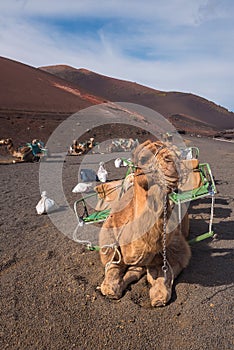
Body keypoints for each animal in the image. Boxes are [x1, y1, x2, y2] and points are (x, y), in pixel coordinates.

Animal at [98, 139, 191, 306]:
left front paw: (158, 296)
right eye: (143, 158)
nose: (171, 163)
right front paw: (112, 288)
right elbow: (112, 274)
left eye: (178, 155)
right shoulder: (110, 246)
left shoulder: (175, 251)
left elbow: (160, 278)